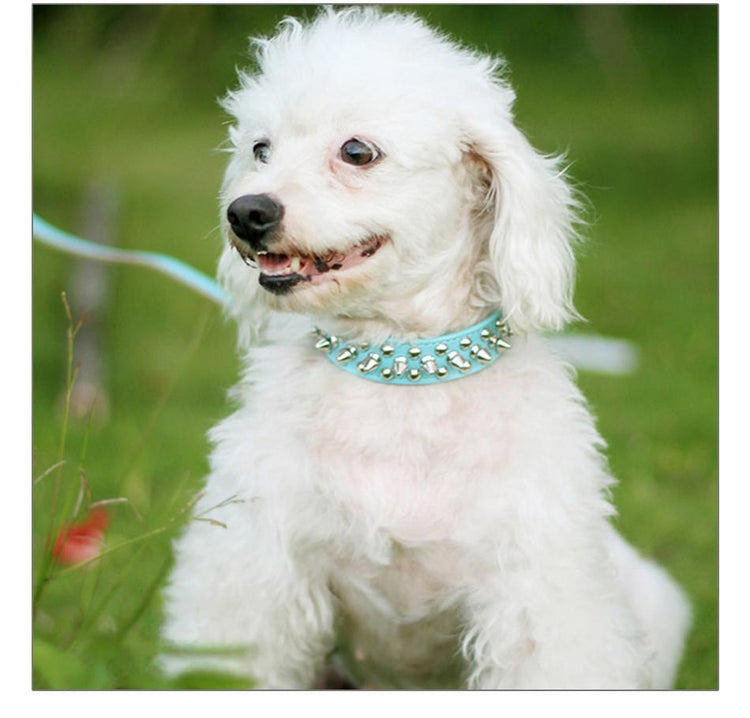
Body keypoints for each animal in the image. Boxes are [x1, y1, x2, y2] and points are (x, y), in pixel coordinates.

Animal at [162, 7, 692, 692]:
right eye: (260, 149)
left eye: (356, 152)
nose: (246, 212)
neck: (402, 369)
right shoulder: (255, 557)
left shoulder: (536, 587)